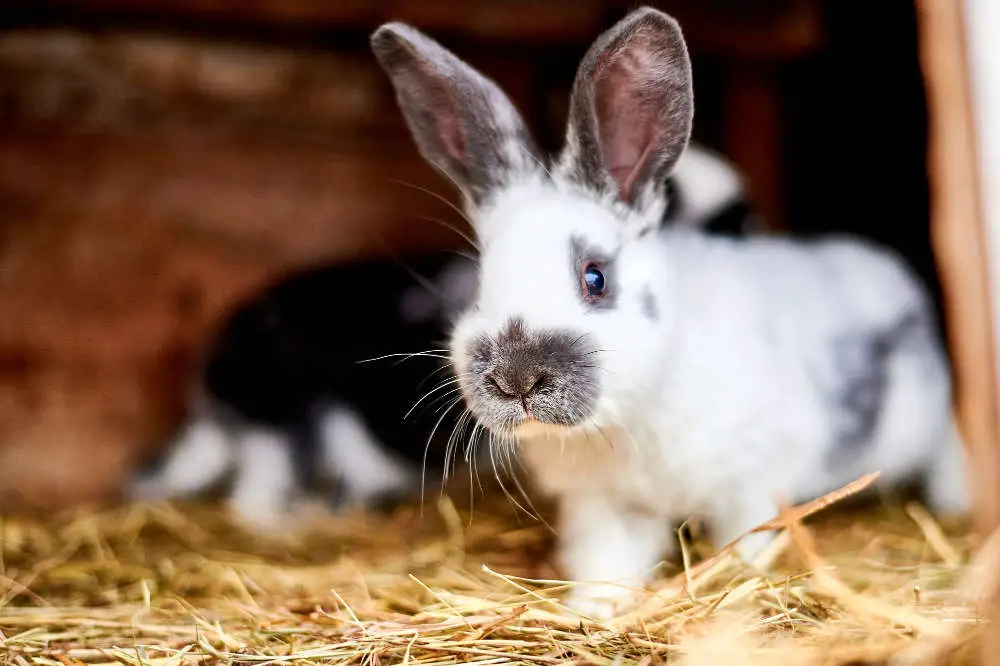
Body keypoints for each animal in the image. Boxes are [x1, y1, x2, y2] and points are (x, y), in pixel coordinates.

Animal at [372, 7, 972, 616]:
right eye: (479, 285)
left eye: (595, 278)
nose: (516, 379)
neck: (628, 414)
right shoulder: (604, 506)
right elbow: (606, 564)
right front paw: (594, 610)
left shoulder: (750, 484)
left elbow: (745, 546)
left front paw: (739, 591)